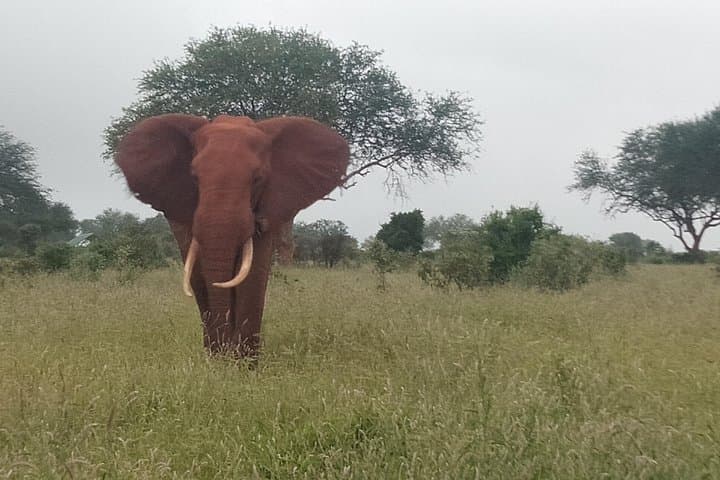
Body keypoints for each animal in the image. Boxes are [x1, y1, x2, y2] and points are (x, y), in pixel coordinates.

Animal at [115, 114, 349, 359]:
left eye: (257, 179)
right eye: (195, 178)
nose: (225, 352)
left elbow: (253, 274)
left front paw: (243, 362)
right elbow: (203, 275)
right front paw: (221, 359)